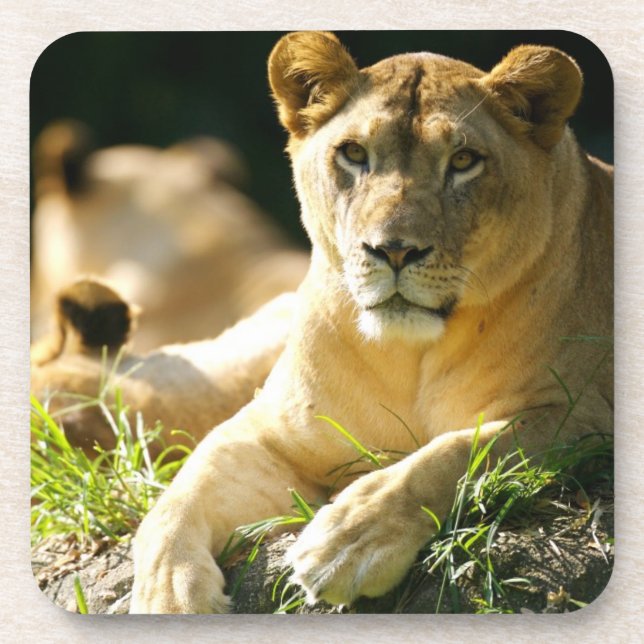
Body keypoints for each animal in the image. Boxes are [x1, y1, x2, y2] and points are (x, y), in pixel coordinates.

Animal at [130, 32, 613, 613]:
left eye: (464, 160)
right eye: (355, 154)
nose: (394, 250)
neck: (406, 354)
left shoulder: (579, 416)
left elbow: (455, 453)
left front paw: (348, 540)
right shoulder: (269, 430)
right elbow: (179, 493)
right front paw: (167, 596)